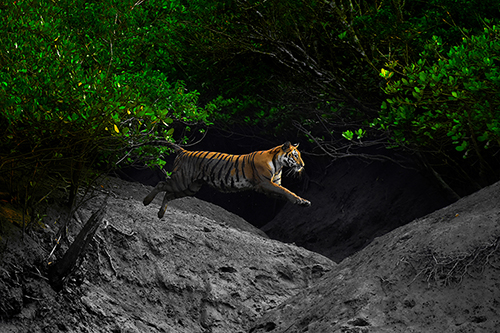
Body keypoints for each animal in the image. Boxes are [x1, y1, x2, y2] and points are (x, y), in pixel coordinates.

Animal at [143, 141, 310, 217]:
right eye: (295, 155)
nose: (303, 165)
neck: (279, 165)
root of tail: (184, 151)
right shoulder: (264, 183)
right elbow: (286, 191)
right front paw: (299, 200)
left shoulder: (271, 186)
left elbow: (284, 192)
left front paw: (303, 202)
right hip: (181, 180)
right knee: (161, 184)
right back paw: (146, 201)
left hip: (191, 188)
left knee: (168, 193)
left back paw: (161, 213)